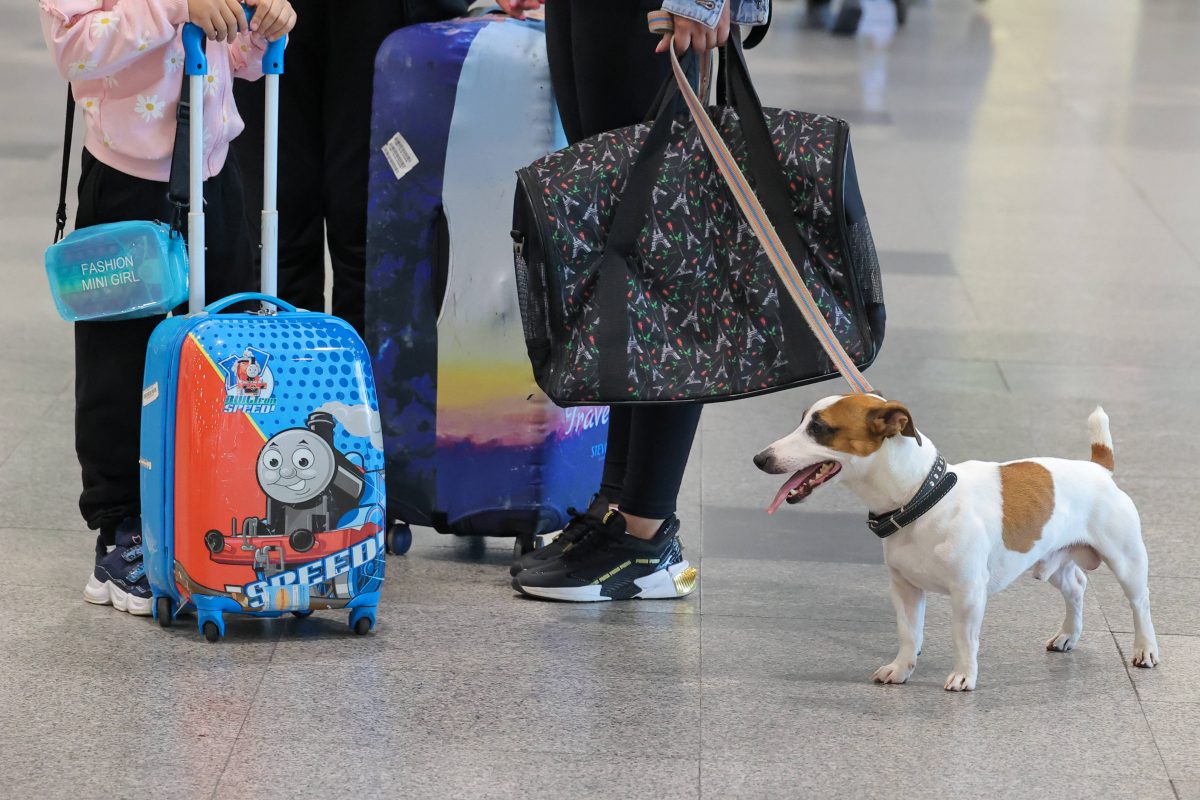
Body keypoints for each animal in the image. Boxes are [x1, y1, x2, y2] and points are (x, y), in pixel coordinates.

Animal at [753, 398, 1156, 690]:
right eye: (803, 421)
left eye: (819, 429)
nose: (760, 458)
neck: (921, 498)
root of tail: (1099, 468)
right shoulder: (905, 590)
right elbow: (908, 633)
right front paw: (901, 668)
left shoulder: (968, 594)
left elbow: (964, 639)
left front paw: (964, 675)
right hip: (1050, 560)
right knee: (1076, 587)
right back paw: (1068, 635)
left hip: (1127, 561)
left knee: (1140, 603)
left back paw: (1145, 649)